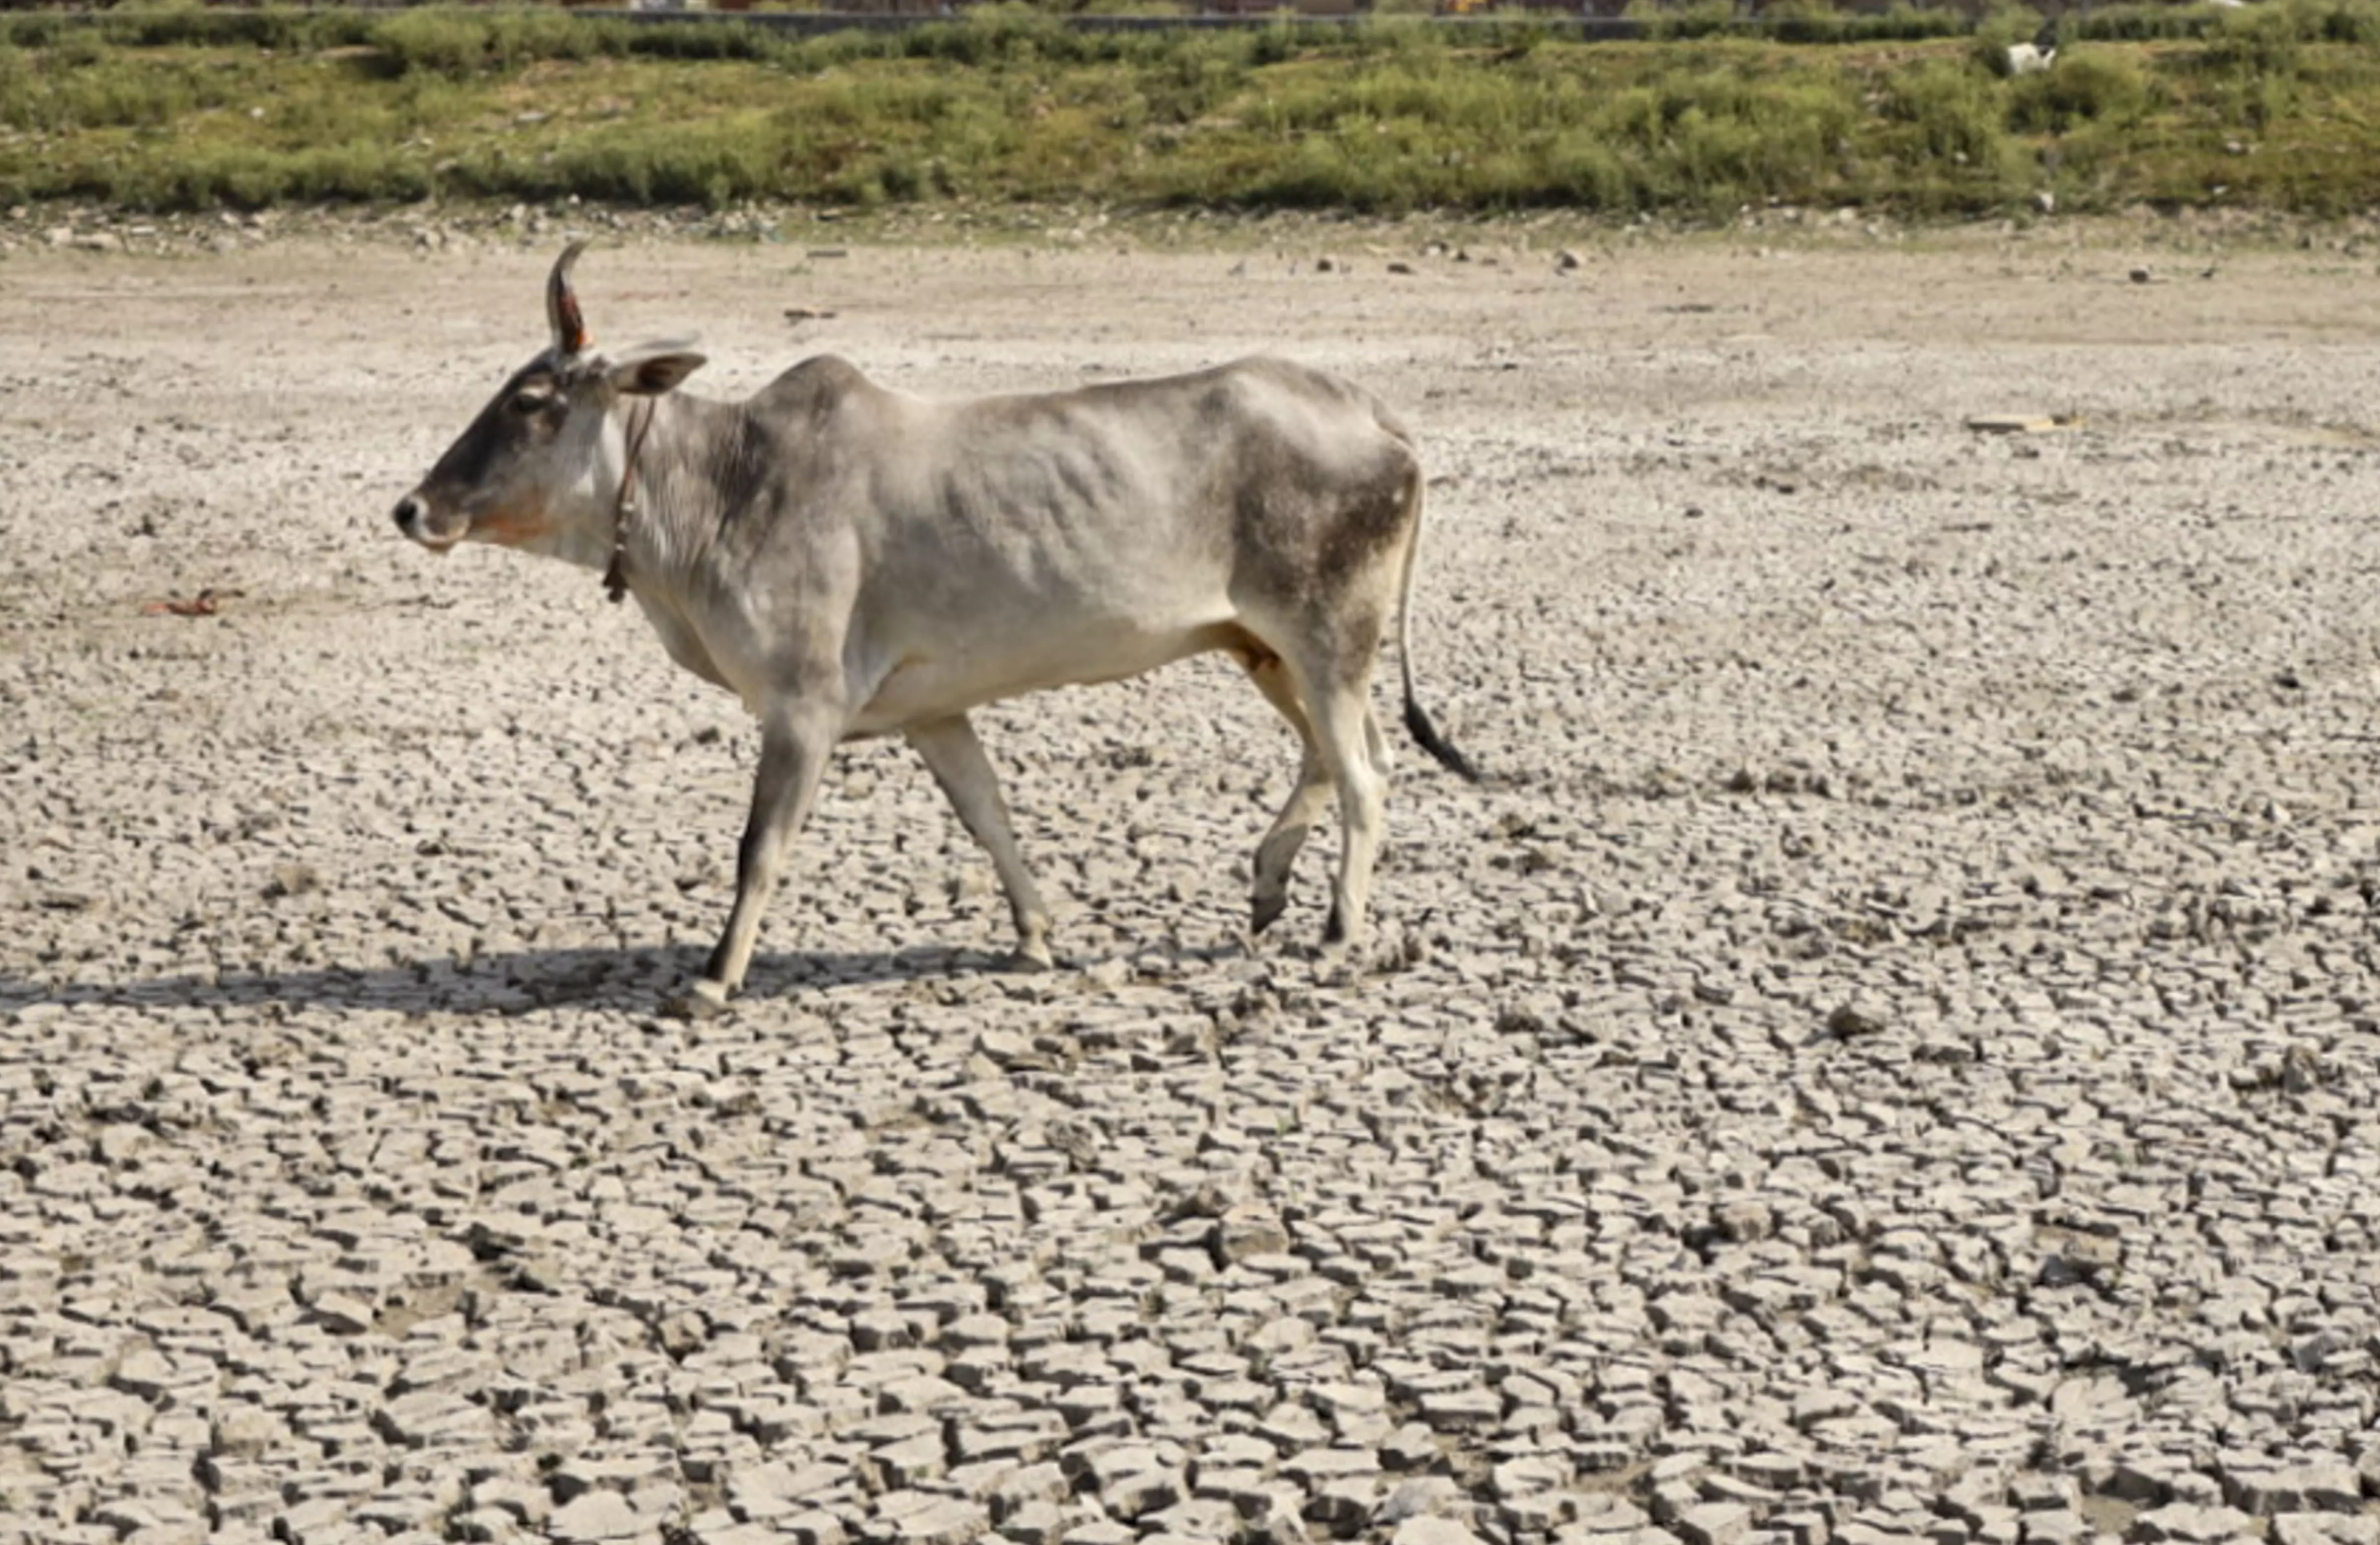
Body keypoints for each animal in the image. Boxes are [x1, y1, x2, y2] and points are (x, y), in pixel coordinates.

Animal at [392, 243, 1476, 1015]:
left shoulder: (803, 707)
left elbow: (760, 845)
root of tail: (1372, 413)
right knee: (1337, 754)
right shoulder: (933, 712)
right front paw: (1035, 936)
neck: (726, 484)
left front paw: (712, 978)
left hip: (1327, 635)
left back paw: (1337, 930)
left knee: (1366, 772)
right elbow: (990, 818)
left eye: (532, 400)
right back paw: (1267, 885)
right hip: (1268, 647)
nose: (413, 509)